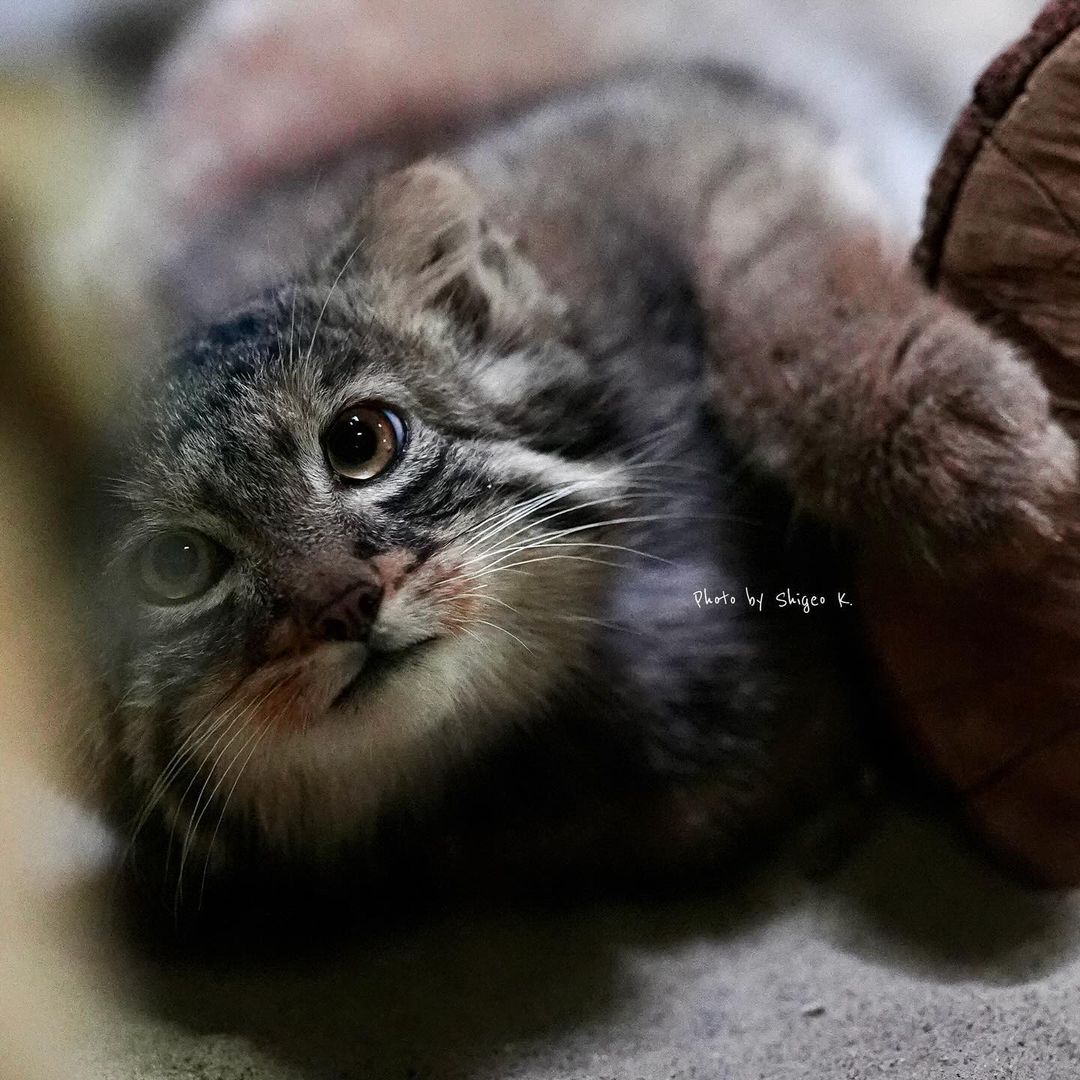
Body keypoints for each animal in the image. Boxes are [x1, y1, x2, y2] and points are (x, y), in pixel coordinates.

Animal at [90, 67, 1071, 907]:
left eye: (362, 442)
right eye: (175, 566)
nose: (344, 603)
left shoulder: (688, 125)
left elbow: (786, 295)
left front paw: (962, 445)